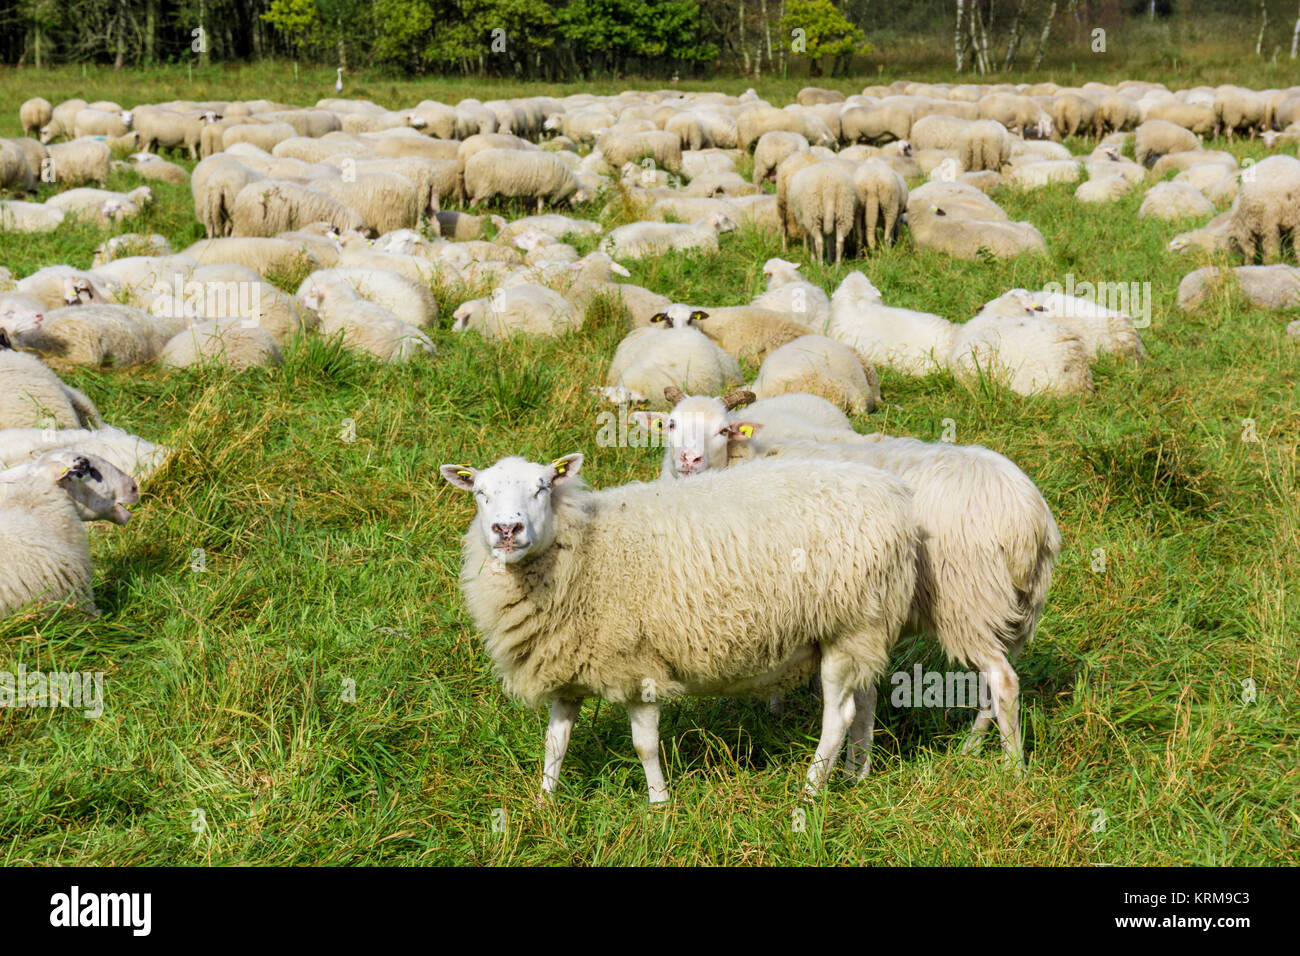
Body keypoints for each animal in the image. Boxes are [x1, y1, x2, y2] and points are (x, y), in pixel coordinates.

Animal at [440, 452, 917, 802]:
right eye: (480, 493)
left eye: (543, 487)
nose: (506, 529)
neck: (589, 547)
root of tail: (891, 491)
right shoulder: (568, 666)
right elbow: (554, 743)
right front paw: (545, 805)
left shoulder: (637, 665)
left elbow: (644, 746)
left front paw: (659, 805)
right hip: (864, 629)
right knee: (867, 698)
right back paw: (857, 773)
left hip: (848, 624)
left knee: (839, 716)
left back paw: (811, 792)